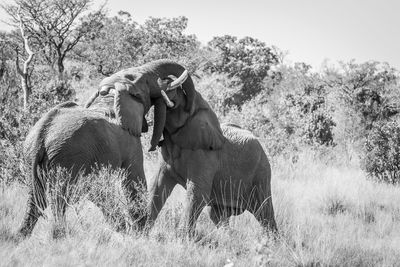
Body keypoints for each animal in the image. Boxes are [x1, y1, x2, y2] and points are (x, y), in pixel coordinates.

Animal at [98, 60, 276, 237]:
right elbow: (157, 187)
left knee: (265, 213)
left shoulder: (206, 155)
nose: (163, 83)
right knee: (217, 215)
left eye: (178, 95)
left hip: (261, 173)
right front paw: (143, 231)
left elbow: (197, 192)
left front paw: (182, 238)